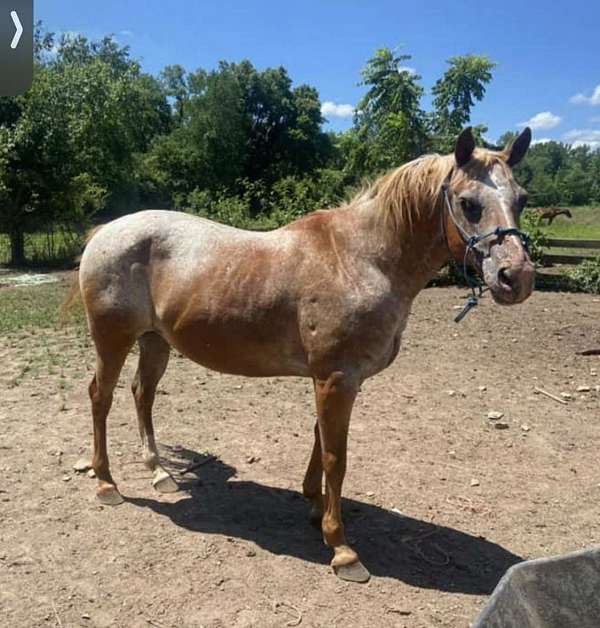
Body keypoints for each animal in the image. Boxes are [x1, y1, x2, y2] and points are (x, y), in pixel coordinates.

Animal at [69, 126, 536, 584]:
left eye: (522, 199)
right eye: (468, 203)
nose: (517, 278)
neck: (360, 259)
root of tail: (106, 232)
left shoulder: (331, 379)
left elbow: (319, 440)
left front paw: (314, 506)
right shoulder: (336, 379)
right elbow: (335, 456)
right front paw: (341, 547)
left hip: (155, 341)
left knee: (142, 395)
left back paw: (158, 471)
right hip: (113, 339)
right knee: (101, 397)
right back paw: (106, 483)